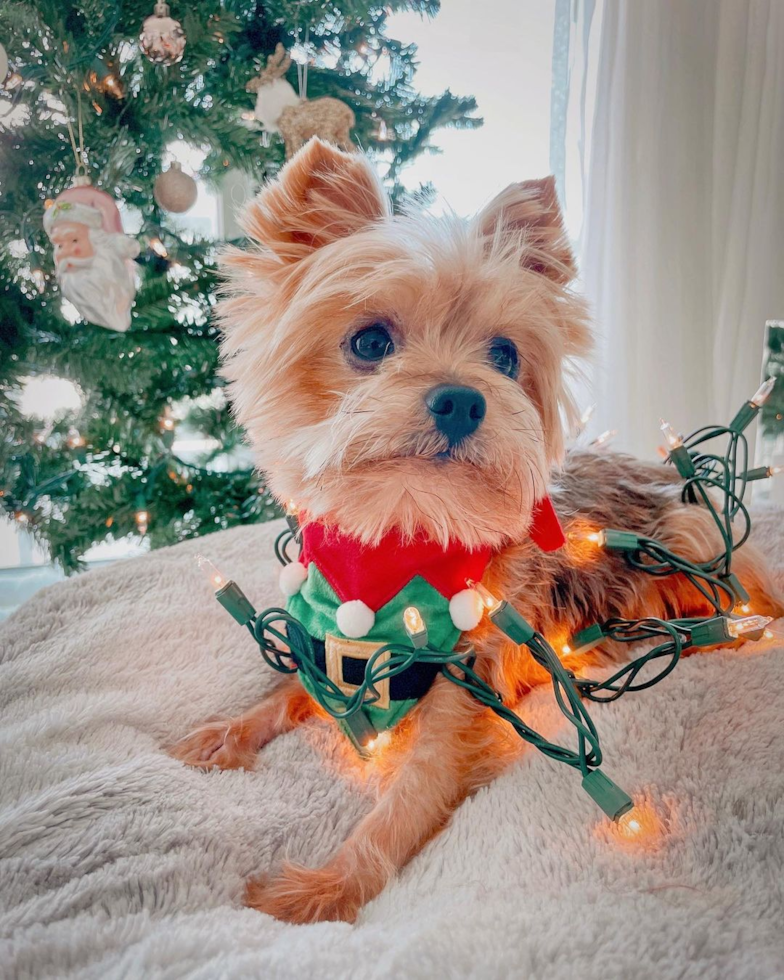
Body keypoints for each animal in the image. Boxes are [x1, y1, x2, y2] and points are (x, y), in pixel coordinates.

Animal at [173, 140, 784, 928]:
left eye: (504, 357)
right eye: (369, 341)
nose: (464, 399)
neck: (403, 540)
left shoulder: (464, 696)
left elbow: (404, 801)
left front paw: (324, 888)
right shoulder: (329, 644)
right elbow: (286, 691)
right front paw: (228, 730)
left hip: (693, 536)